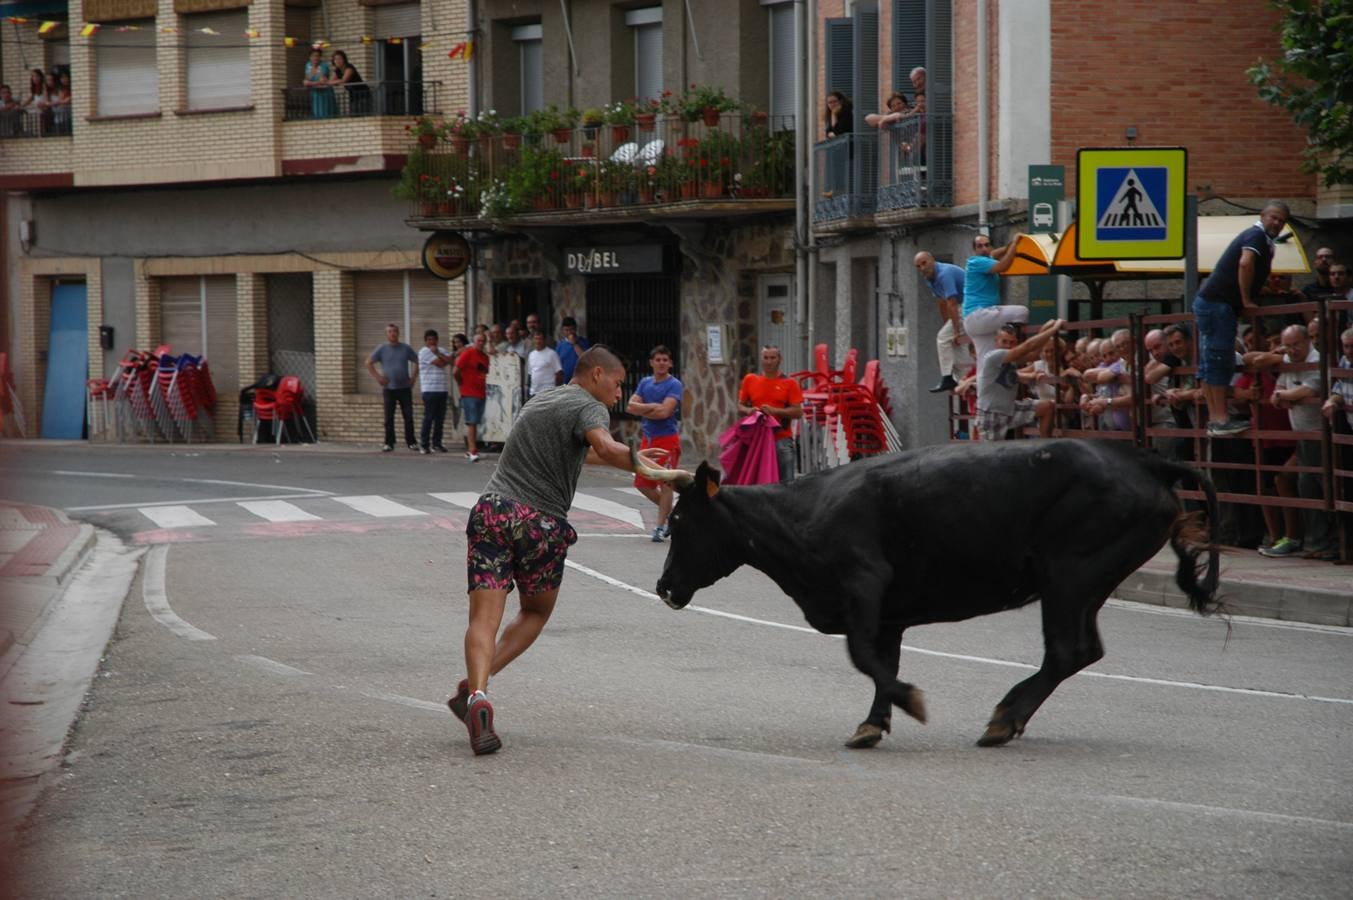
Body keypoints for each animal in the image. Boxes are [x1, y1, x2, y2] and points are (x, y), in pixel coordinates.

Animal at [646, 438, 1228, 747]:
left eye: (680, 521)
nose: (664, 585)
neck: (802, 515)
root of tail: (1141, 460)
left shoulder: (864, 583)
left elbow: (863, 657)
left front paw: (909, 702)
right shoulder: (888, 613)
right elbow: (881, 661)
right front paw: (873, 723)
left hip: (1070, 574)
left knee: (1067, 650)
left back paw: (1004, 719)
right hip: (1086, 583)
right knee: (1082, 651)